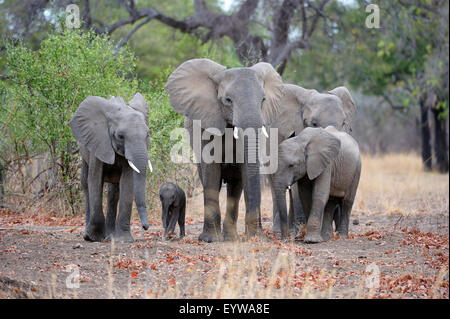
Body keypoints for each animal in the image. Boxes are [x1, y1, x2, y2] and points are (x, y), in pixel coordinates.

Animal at [70, 94, 153, 244]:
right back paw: (90, 234)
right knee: (85, 183)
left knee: (113, 192)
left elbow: (127, 183)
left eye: (147, 135)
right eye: (120, 136)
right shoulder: (98, 141)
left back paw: (110, 236)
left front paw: (123, 240)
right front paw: (93, 237)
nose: (145, 227)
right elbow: (95, 180)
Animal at [165, 58, 282, 242]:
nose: (257, 236)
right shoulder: (205, 125)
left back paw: (231, 237)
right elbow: (211, 172)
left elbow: (246, 172)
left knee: (235, 186)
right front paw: (210, 239)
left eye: (263, 100)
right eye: (228, 100)